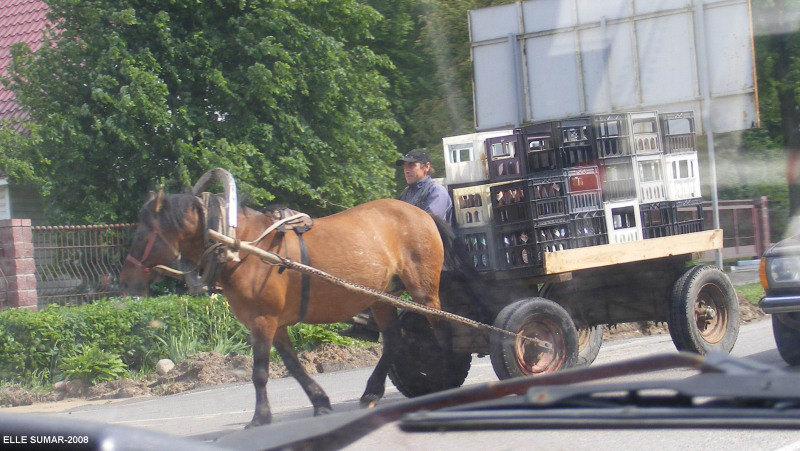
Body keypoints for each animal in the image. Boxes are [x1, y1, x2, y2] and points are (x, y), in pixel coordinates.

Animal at [118, 190, 450, 428]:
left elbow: (260, 373)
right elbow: (293, 366)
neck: (245, 247)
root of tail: (422, 213)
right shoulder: (274, 325)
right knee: (393, 339)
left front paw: (260, 417)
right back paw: (371, 391)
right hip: (381, 297)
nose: (125, 281)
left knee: (441, 328)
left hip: (423, 291)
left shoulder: (262, 321)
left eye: (142, 235)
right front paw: (320, 402)